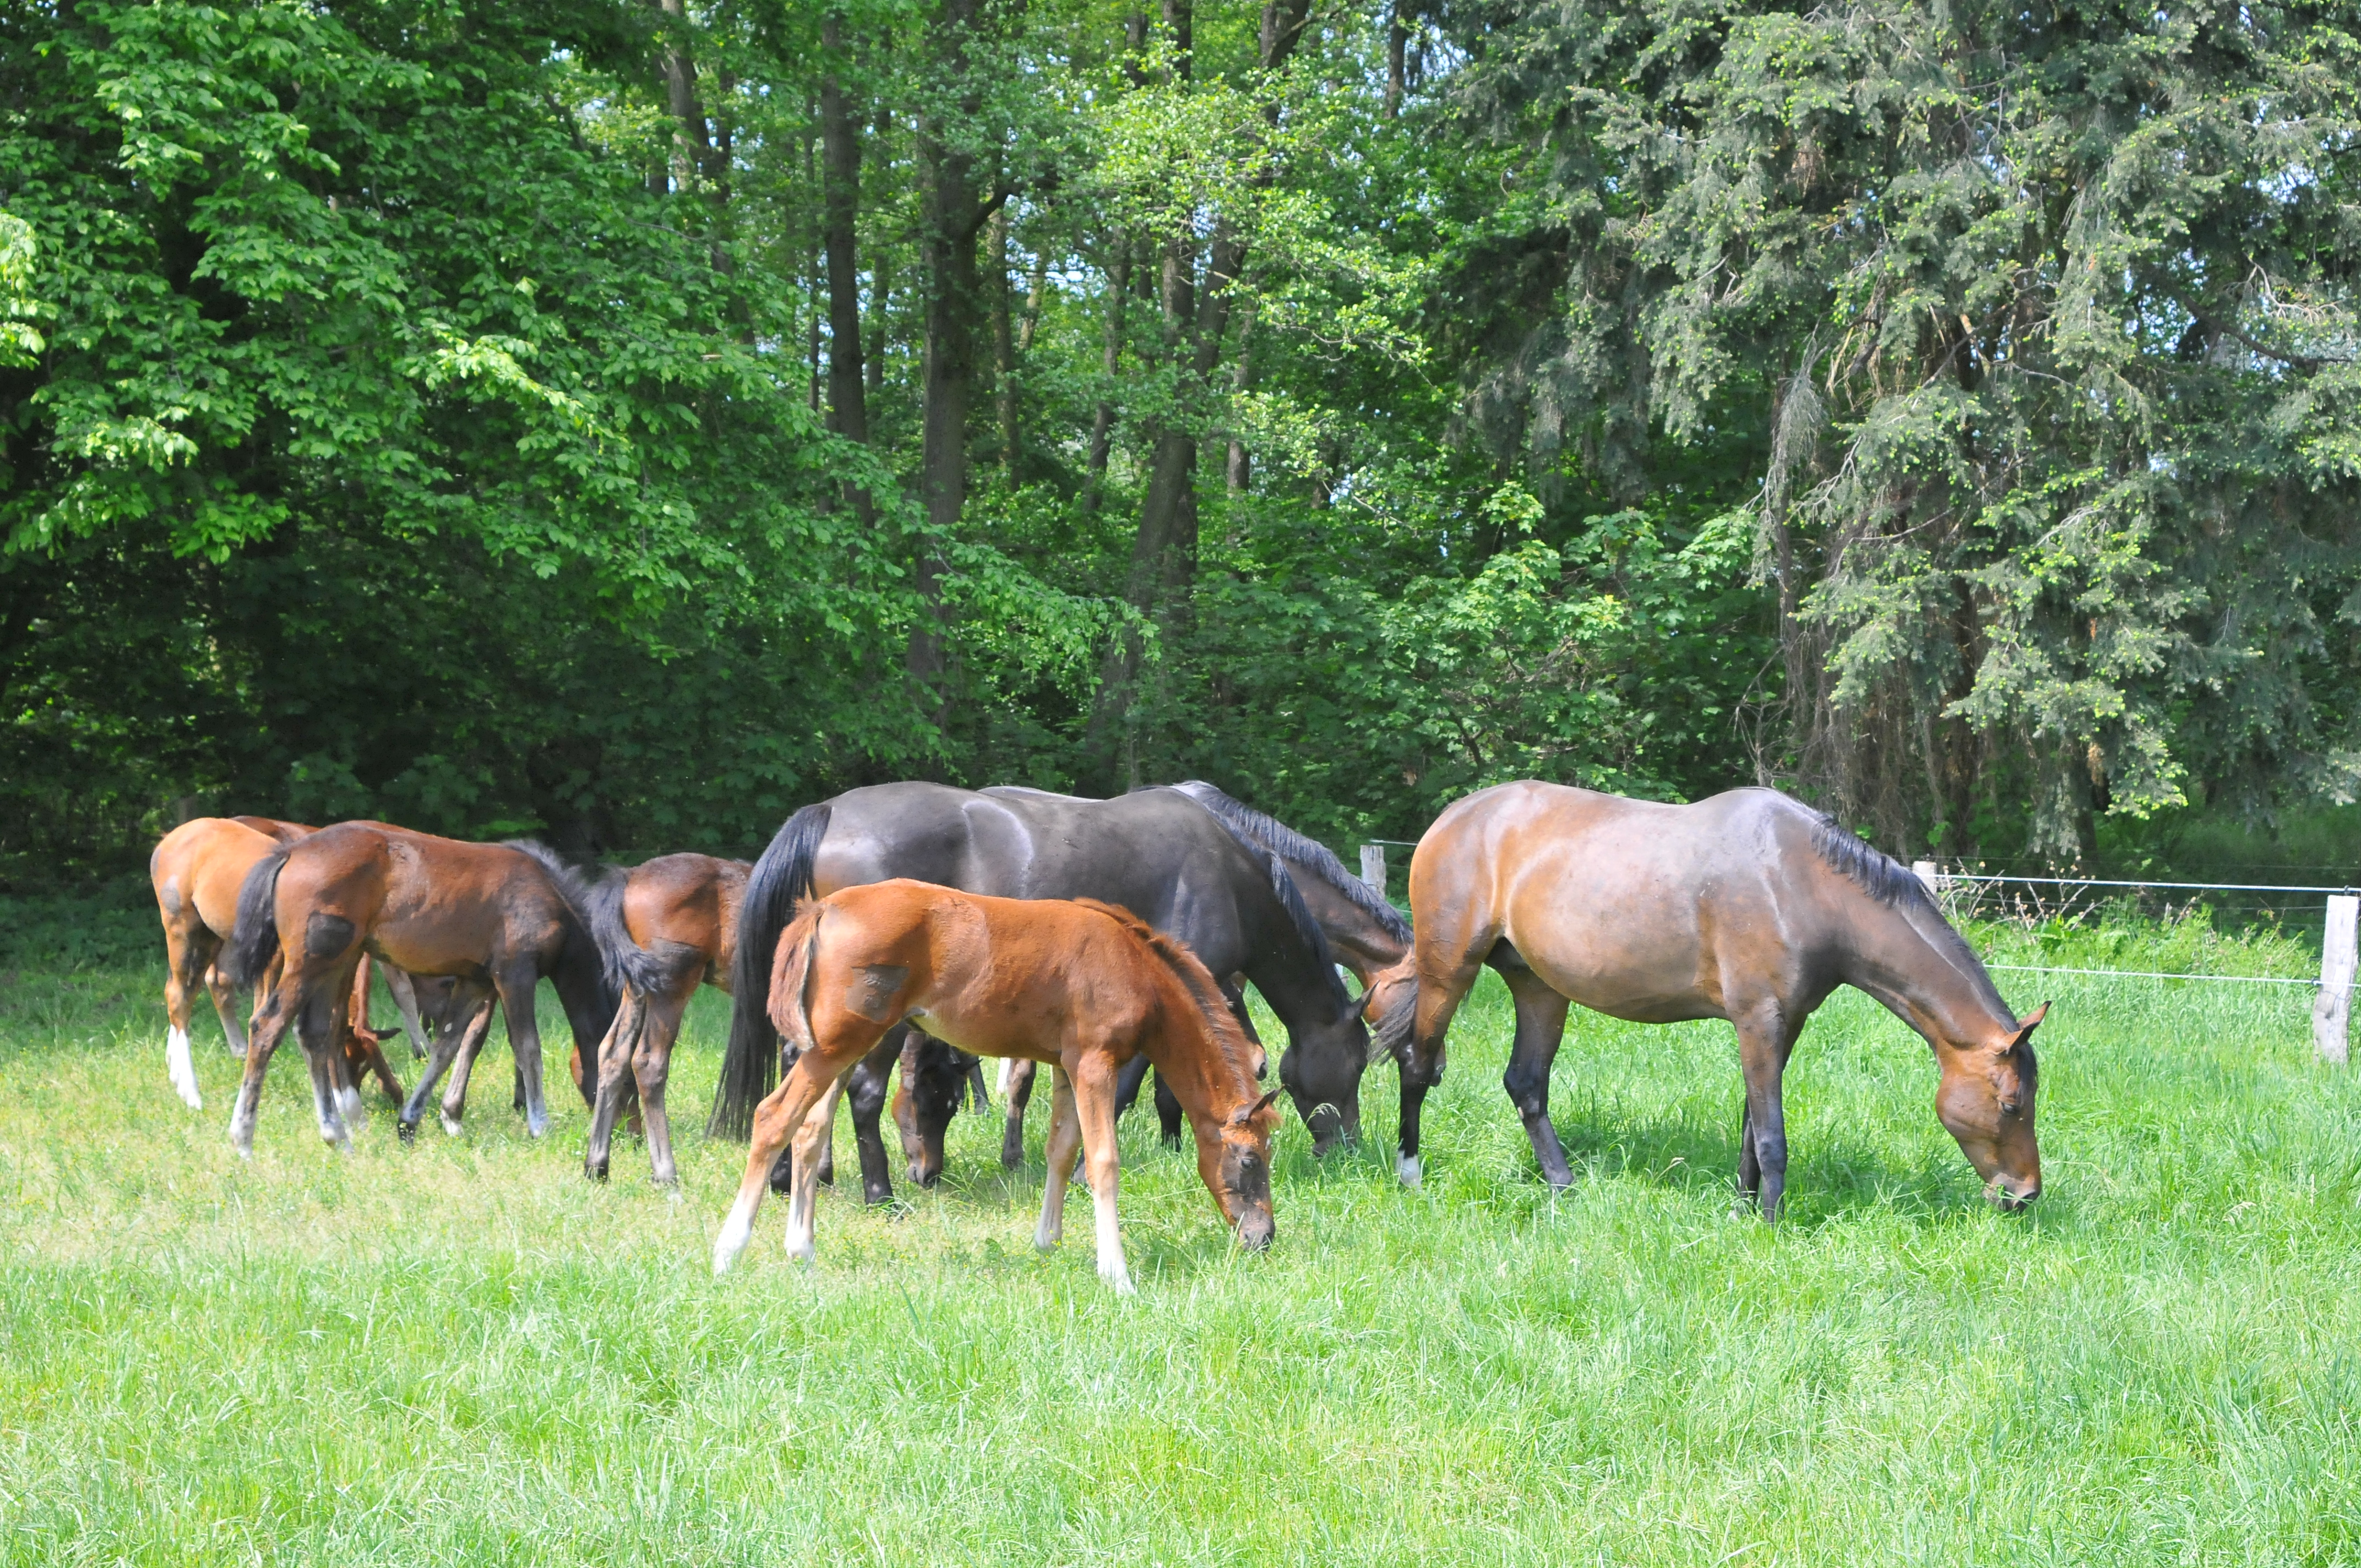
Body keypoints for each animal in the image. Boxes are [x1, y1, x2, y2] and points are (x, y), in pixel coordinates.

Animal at [146, 812, 439, 1109]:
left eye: (367, 1065)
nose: (394, 1098)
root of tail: (171, 838)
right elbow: (401, 991)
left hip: (213, 936)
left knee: (198, 986)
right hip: (186, 930)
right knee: (182, 994)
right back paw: (193, 1090)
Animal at [218, 821, 618, 1152]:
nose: (625, 1132)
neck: (548, 898)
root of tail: (292, 852)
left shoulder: (475, 981)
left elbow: (446, 1046)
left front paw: (410, 1122)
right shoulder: (514, 974)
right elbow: (527, 1048)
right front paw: (540, 1125)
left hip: (336, 964)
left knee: (316, 1035)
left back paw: (339, 1138)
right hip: (310, 964)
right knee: (267, 1027)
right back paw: (244, 1139)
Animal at [703, 783, 1369, 1199]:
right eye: (1360, 1063)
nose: (1349, 1149)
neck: (1232, 877)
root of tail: (828, 812)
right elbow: (1133, 1088)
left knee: (804, 1072)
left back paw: (793, 1177)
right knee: (857, 1090)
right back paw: (877, 1192)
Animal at [708, 873, 1284, 1294]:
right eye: (1250, 1161)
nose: (1264, 1238)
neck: (1136, 968)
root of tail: (821, 910)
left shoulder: (1066, 1065)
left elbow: (1060, 1150)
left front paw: (1048, 1241)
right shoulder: (1096, 1063)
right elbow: (1102, 1161)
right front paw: (1116, 1274)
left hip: (840, 1049)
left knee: (809, 1131)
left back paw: (802, 1250)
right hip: (838, 1045)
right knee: (773, 1117)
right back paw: (728, 1251)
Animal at [1359, 788, 2039, 1218]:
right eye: (2011, 1104)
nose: (2025, 1194)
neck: (1801, 883)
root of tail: (1453, 818)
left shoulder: (1782, 1024)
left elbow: (1750, 1127)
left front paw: (1742, 1211)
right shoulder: (1757, 1021)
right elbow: (1771, 1134)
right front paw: (1770, 1224)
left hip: (1539, 987)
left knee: (1526, 1084)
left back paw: (1563, 1185)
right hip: (1451, 969)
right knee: (1417, 1063)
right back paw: (1410, 1174)